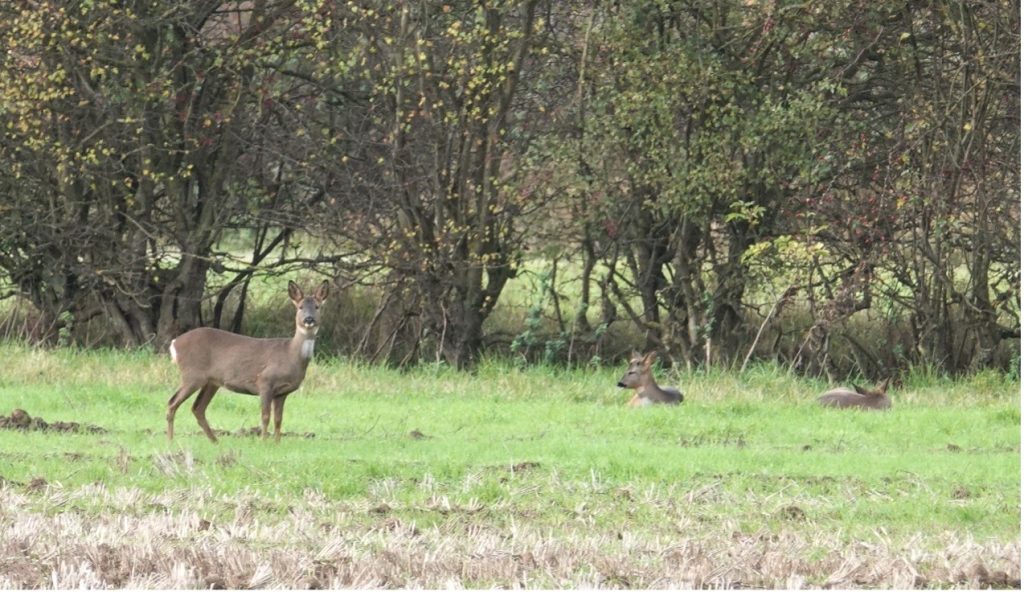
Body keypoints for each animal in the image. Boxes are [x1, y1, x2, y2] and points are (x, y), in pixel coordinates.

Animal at [165, 278, 329, 440]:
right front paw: (263, 442)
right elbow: (265, 417)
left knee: (197, 408)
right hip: (192, 374)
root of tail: (175, 343)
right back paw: (171, 441)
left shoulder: (283, 392)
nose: (309, 319)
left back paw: (216, 442)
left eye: (317, 307)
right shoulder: (265, 381)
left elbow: (278, 420)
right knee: (172, 403)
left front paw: (276, 443)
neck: (290, 355)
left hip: (211, 381)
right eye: (300, 307)